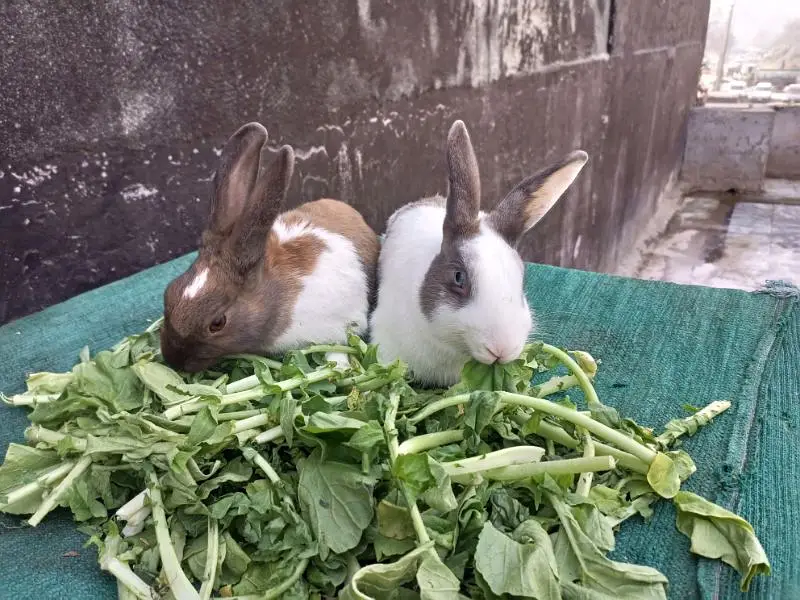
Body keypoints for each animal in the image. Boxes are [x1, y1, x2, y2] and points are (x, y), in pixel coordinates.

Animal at [160, 122, 380, 373]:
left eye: (217, 323)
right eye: (169, 291)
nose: (173, 360)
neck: (273, 301)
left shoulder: (340, 325)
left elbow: (338, 347)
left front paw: (339, 367)